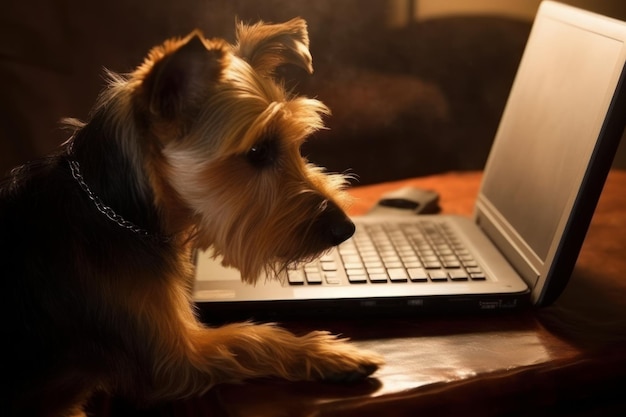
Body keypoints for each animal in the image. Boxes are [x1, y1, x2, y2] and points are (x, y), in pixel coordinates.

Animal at [0, 18, 382, 416]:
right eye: (258, 151)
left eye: (298, 145)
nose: (346, 228)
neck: (116, 209)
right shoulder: (170, 358)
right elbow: (250, 336)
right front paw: (329, 353)